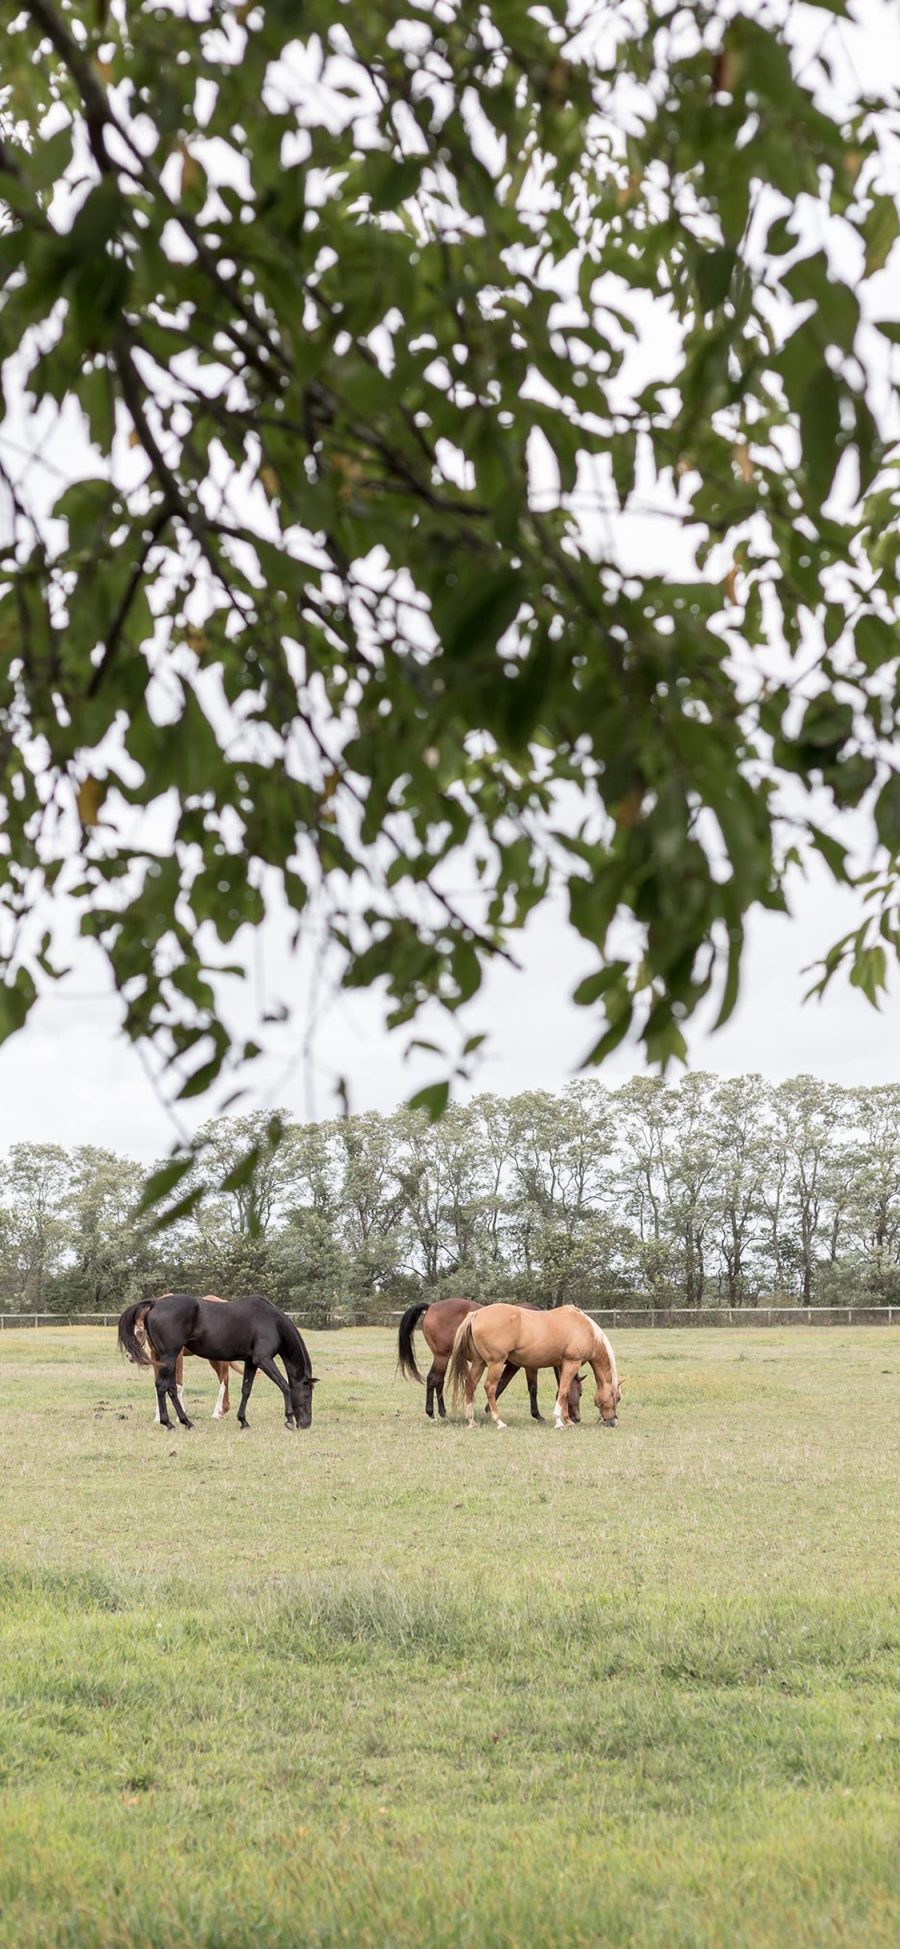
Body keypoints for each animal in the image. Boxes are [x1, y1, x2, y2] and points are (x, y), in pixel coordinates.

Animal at [117, 1294, 317, 1434]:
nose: (306, 1424)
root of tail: (155, 1303)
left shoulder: (251, 1362)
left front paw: (243, 1421)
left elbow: (246, 1390)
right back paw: (168, 1423)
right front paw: (289, 1420)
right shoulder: (264, 1360)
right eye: (308, 1395)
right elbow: (284, 1386)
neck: (272, 1321)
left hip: (167, 1359)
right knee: (162, 1386)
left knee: (171, 1388)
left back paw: (186, 1422)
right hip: (170, 1357)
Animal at [395, 1301, 580, 1426]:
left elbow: (501, 1385)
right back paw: (431, 1414)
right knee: (433, 1379)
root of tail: (431, 1306)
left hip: (445, 1358)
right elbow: (525, 1387)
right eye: (580, 1393)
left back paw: (443, 1412)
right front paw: (537, 1415)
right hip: (442, 1356)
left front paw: (487, 1410)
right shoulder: (523, 1365)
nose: (577, 1418)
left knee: (439, 1381)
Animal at [448, 1309, 623, 1434]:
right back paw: (499, 1421)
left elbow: (564, 1392)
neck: (586, 1329)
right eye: (618, 1398)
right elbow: (564, 1391)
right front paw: (559, 1422)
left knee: (470, 1384)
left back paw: (471, 1421)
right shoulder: (572, 1363)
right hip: (495, 1363)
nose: (612, 1422)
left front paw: (567, 1420)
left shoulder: (562, 1365)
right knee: (490, 1388)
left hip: (479, 1363)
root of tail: (476, 1314)